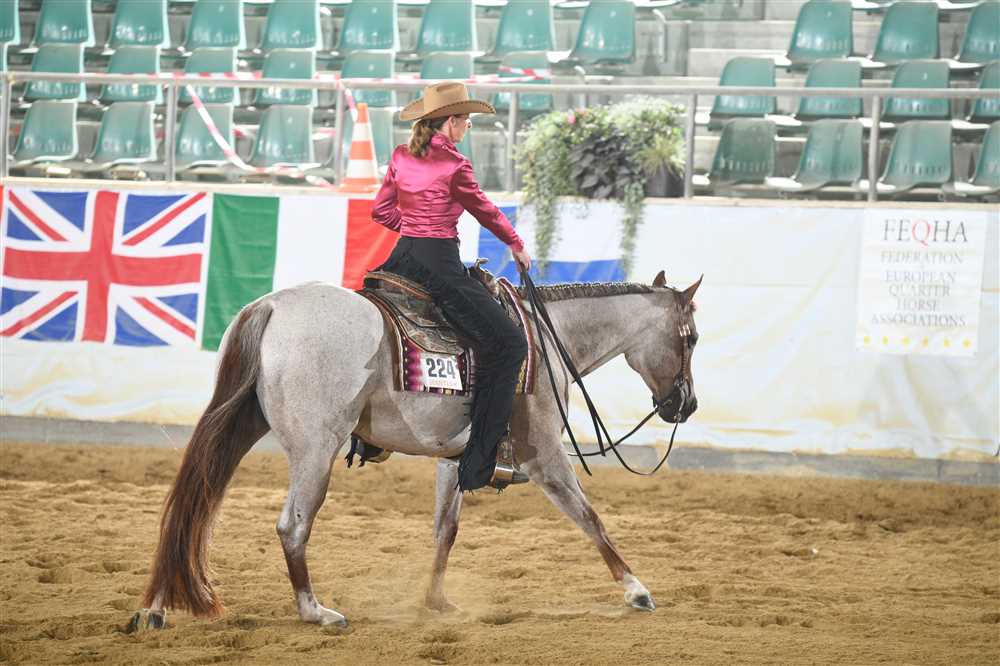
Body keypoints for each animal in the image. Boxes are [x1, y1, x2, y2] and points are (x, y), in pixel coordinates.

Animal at [135, 269, 701, 629]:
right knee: (291, 527)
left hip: (241, 424)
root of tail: (270, 305)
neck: (545, 337)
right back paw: (315, 611)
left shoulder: (458, 459)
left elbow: (445, 530)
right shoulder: (543, 455)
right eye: (691, 337)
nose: (687, 404)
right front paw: (636, 590)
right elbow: (589, 517)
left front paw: (435, 600)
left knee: (193, 504)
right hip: (316, 451)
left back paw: (156, 608)